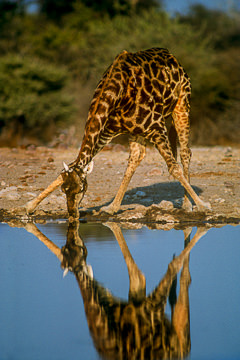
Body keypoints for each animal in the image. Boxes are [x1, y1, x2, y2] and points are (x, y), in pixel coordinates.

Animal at [23, 221, 208, 358]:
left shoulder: (150, 307)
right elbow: (141, 276)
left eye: (72, 248)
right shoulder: (135, 297)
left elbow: (170, 265)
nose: (75, 237)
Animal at [25, 46, 211, 218]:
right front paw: (29, 206)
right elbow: (73, 164)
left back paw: (187, 204)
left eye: (80, 189)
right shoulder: (107, 131)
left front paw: (203, 206)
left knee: (185, 152)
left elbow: (174, 168)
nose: (72, 214)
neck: (117, 93)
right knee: (137, 157)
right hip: (137, 131)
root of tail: (172, 57)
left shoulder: (156, 125)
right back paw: (112, 207)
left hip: (182, 104)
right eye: (64, 190)